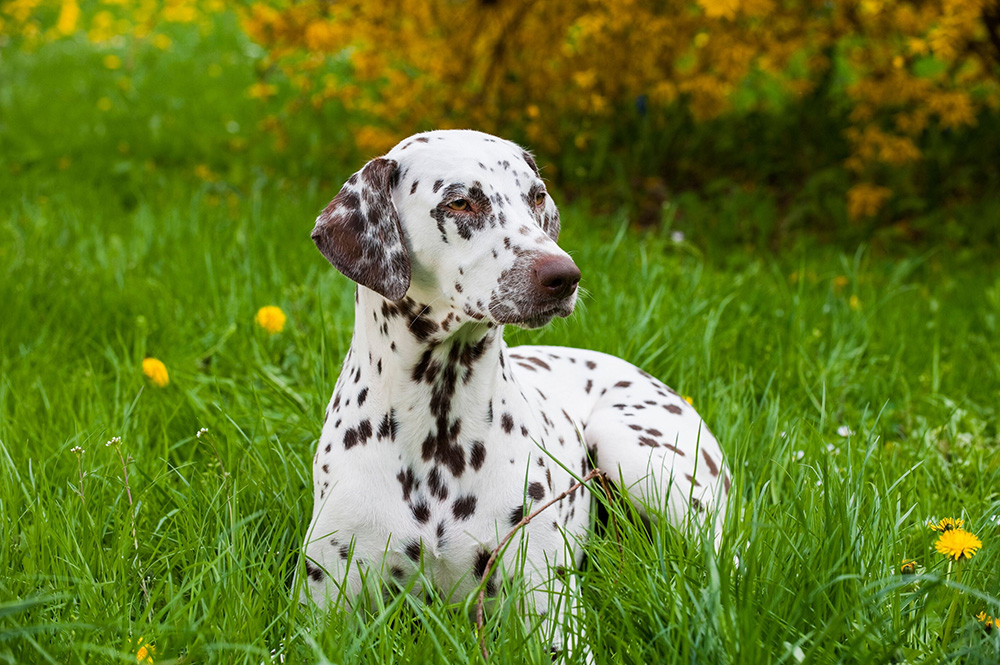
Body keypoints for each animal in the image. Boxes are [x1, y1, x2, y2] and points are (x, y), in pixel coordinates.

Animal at [300, 128, 732, 648]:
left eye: (537, 196)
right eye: (461, 202)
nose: (563, 275)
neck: (438, 436)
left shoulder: (553, 616)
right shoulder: (322, 612)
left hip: (633, 453)